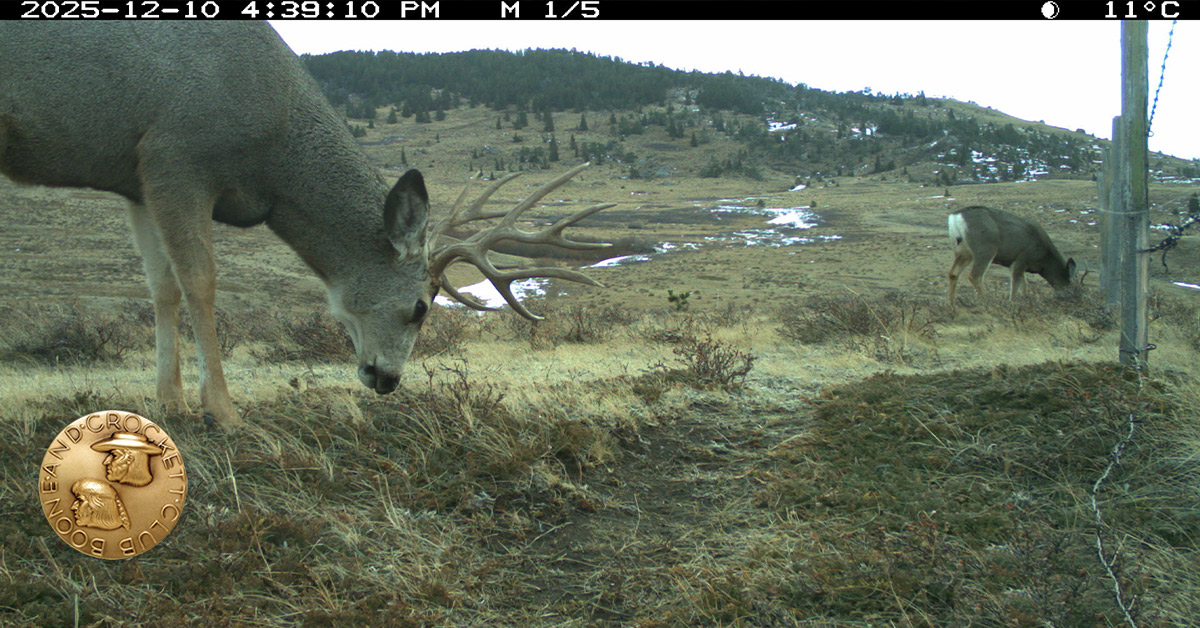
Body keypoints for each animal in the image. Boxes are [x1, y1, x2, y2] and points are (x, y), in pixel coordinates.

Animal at [0, 22, 613, 428]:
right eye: (421, 306)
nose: (389, 380)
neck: (274, 155)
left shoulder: (136, 179)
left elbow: (162, 287)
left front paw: (169, 402)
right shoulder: (176, 154)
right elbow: (200, 282)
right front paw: (222, 410)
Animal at [946, 206, 1076, 306]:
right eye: (1075, 288)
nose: (1076, 300)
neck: (1043, 258)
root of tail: (956, 217)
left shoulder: (1015, 264)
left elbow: (1023, 285)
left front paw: (1025, 301)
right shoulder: (1022, 258)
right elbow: (1015, 285)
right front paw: (1013, 303)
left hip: (963, 252)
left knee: (953, 273)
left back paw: (951, 305)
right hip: (985, 248)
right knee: (975, 275)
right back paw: (988, 302)